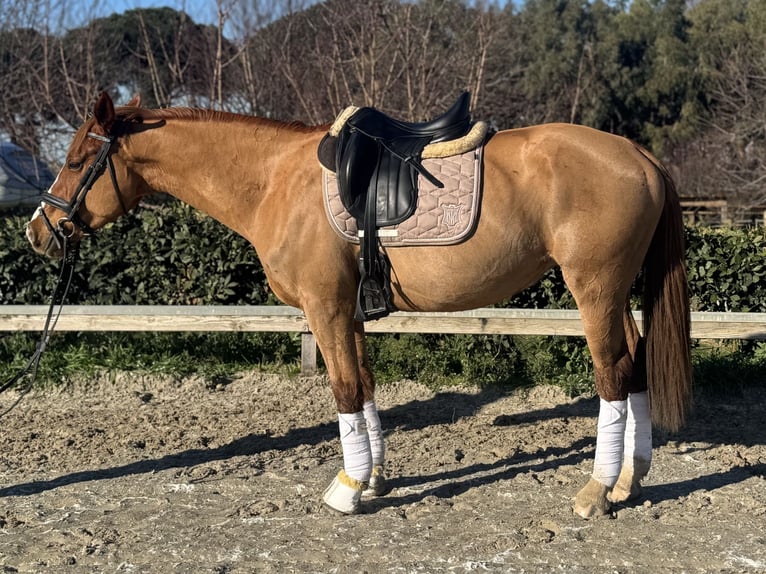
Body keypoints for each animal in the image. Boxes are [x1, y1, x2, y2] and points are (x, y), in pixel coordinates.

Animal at [26, 92, 691, 518]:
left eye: (78, 160)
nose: (38, 232)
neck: (274, 182)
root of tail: (638, 155)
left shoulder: (323, 309)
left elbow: (344, 390)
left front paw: (346, 489)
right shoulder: (348, 311)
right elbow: (366, 386)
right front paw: (370, 480)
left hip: (594, 289)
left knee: (612, 374)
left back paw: (596, 492)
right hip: (615, 294)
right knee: (634, 366)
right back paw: (630, 479)